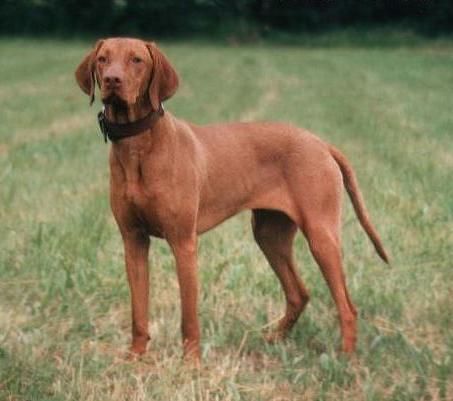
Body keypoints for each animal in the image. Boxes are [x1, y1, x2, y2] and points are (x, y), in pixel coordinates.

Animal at [75, 37, 388, 362]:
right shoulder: (133, 241)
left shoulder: (183, 242)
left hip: (320, 235)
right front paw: (135, 358)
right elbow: (138, 311)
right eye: (102, 59)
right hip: (269, 235)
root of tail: (321, 143)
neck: (138, 146)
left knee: (347, 306)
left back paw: (346, 360)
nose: (112, 80)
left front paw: (191, 364)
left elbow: (189, 317)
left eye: (136, 60)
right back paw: (273, 340)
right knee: (298, 293)